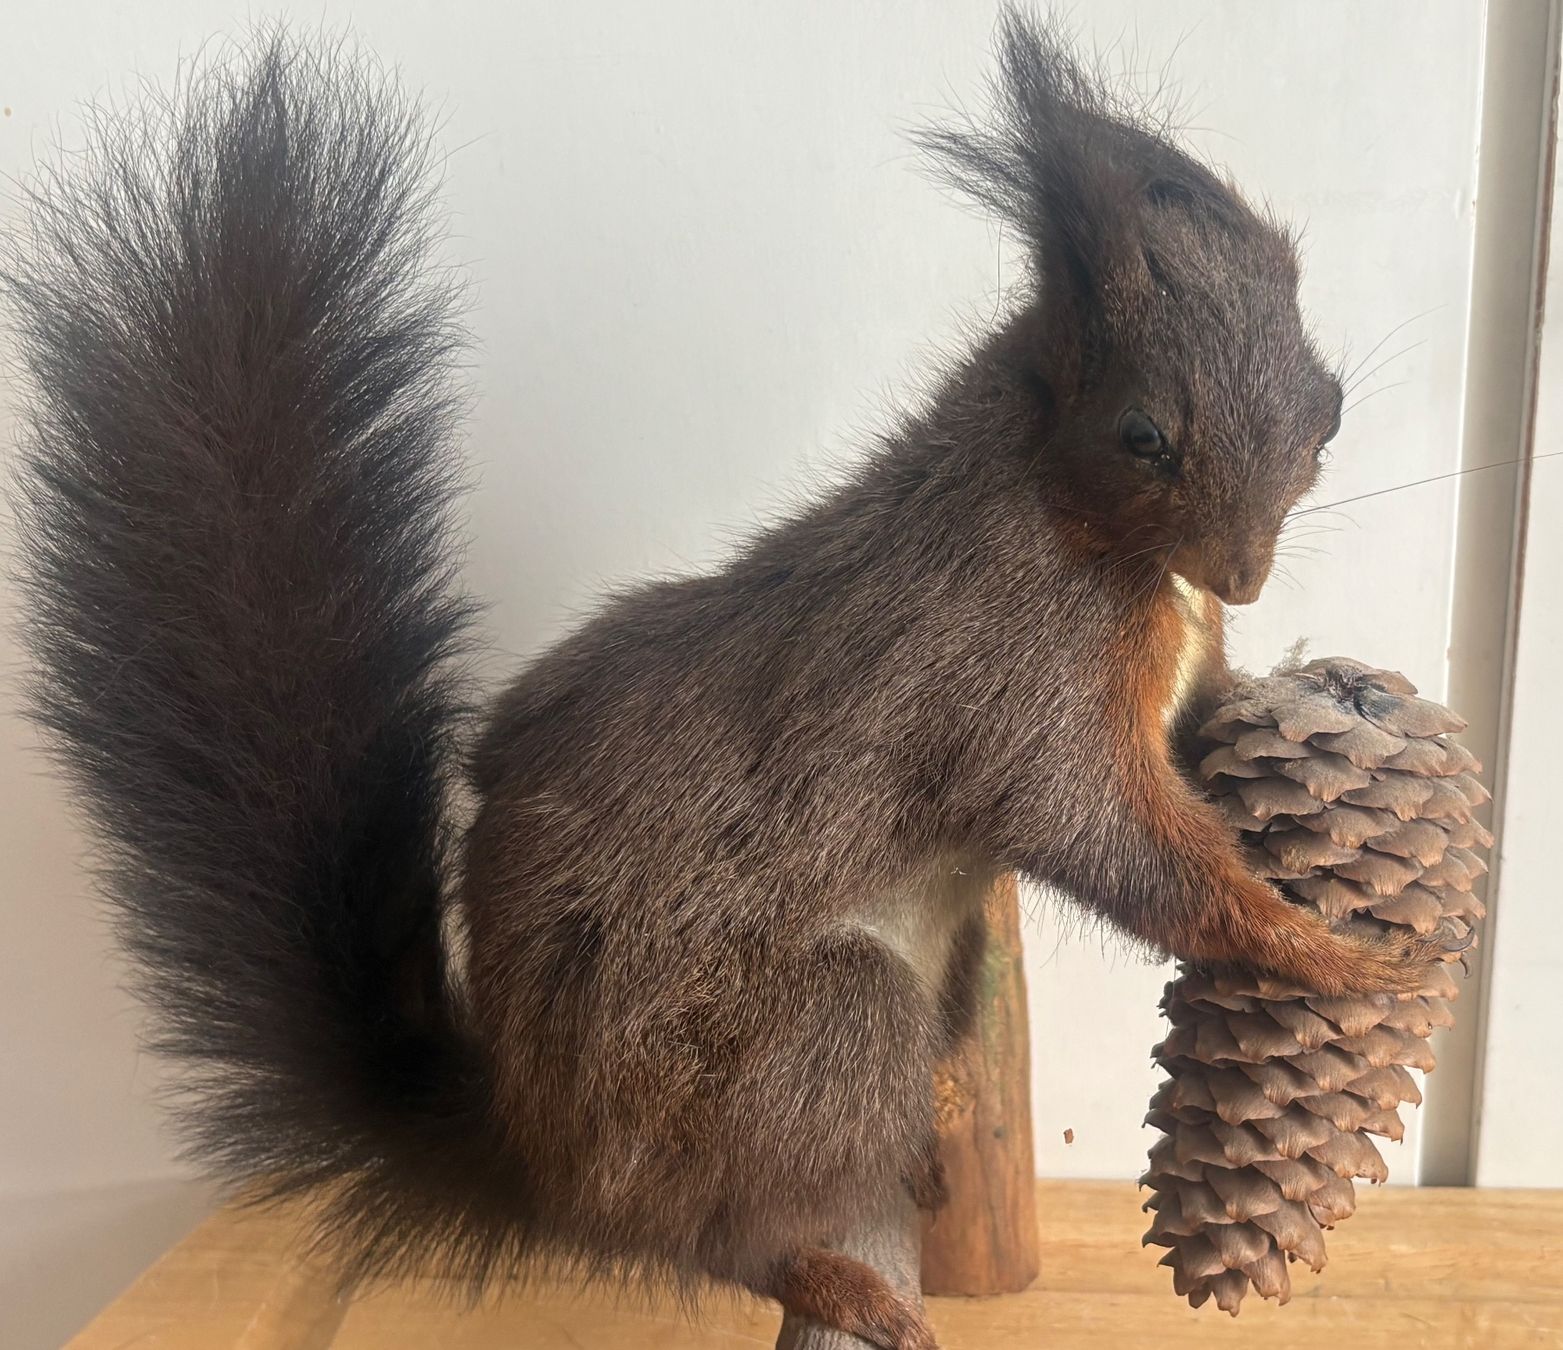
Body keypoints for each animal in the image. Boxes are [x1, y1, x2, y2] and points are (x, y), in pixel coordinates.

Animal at [4, 13, 1454, 1350]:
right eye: (1141, 431)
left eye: (1326, 406)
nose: (1244, 575)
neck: (1084, 523)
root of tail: (542, 1166)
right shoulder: (997, 670)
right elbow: (1112, 840)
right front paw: (1339, 955)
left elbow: (1199, 735)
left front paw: (1325, 693)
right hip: (800, 1038)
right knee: (704, 1232)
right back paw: (822, 1272)